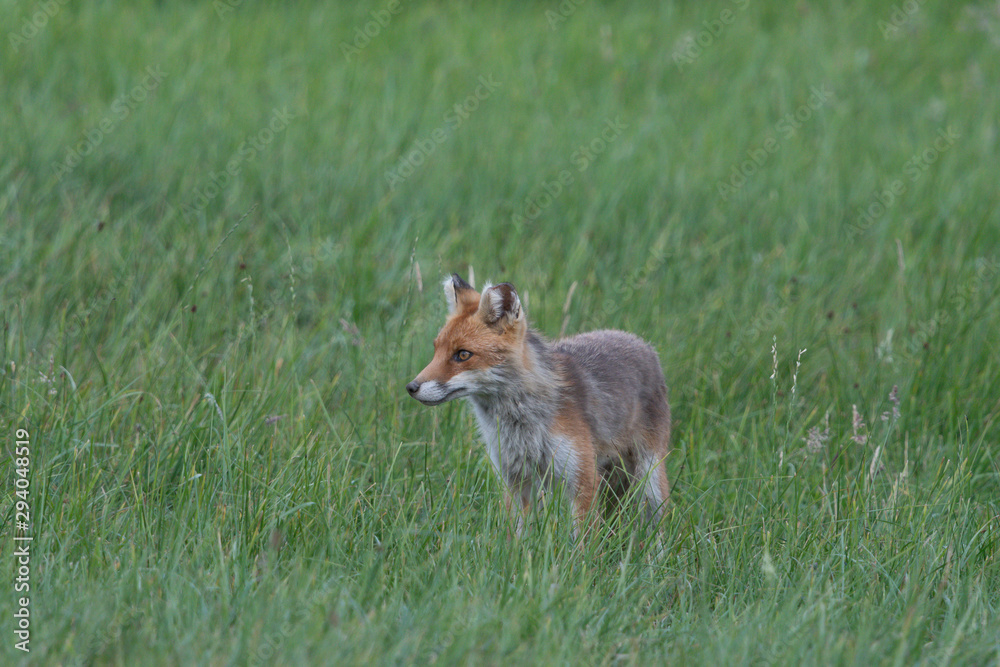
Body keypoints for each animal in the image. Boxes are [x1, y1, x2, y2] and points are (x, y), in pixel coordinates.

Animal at [406, 274, 671, 536]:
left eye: (462, 355)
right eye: (436, 350)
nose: (411, 387)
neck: (522, 426)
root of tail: (641, 342)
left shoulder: (582, 478)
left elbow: (584, 542)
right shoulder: (514, 480)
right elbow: (516, 536)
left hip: (649, 478)